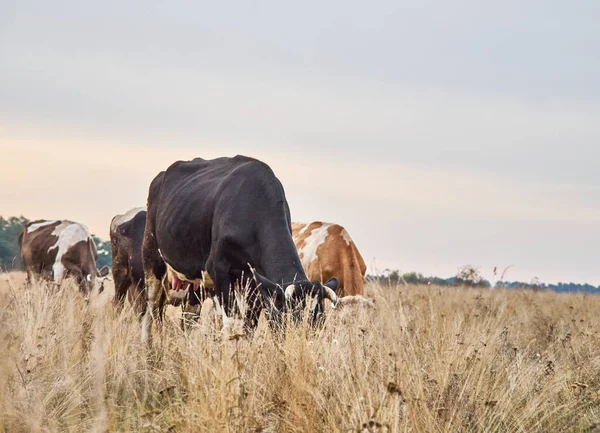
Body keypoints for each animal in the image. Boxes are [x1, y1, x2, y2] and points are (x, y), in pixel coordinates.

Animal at [139, 154, 338, 340]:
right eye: (293, 317)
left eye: (320, 321)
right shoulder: (219, 269)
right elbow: (232, 324)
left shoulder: (256, 283)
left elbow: (249, 325)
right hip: (152, 258)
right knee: (150, 309)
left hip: (195, 282)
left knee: (187, 318)